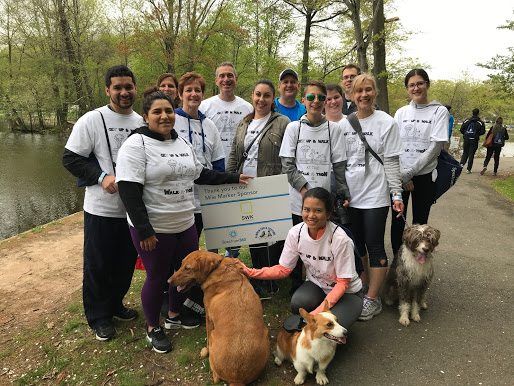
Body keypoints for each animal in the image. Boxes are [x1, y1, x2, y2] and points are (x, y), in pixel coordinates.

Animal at [169, 250, 268, 386]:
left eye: (188, 268)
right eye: (181, 264)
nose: (168, 281)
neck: (217, 266)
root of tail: (237, 379)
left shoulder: (208, 318)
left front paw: (205, 350)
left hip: (213, 335)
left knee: (215, 377)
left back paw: (205, 352)